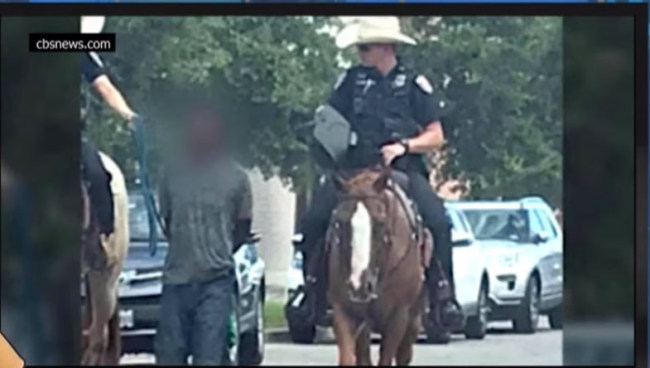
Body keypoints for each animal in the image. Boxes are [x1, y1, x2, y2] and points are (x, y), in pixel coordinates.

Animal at [326, 168, 432, 366]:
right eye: (339, 223)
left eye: (380, 223)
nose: (359, 285)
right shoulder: (344, 311)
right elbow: (349, 357)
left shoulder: (398, 316)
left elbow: (386, 358)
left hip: (413, 321)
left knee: (404, 355)